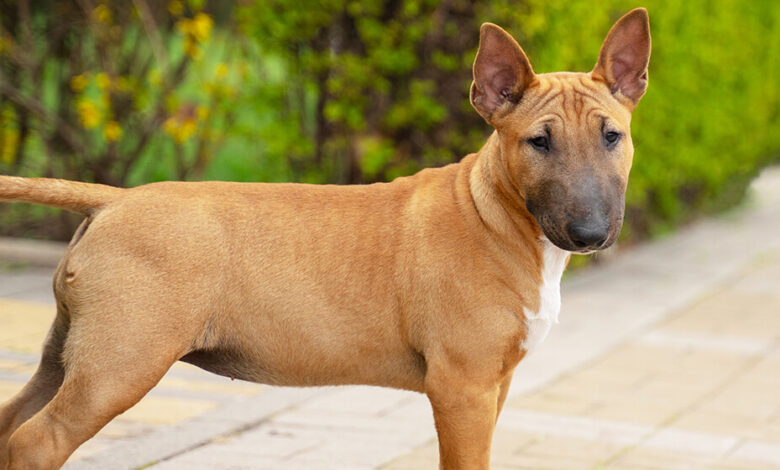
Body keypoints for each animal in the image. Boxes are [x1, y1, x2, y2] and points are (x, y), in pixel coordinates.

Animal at [0, 8, 652, 470]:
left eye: (612, 136)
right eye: (538, 142)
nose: (591, 234)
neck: (493, 214)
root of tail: (113, 199)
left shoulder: (495, 384)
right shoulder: (461, 387)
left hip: (68, 354)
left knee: (12, 426)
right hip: (121, 364)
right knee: (38, 442)